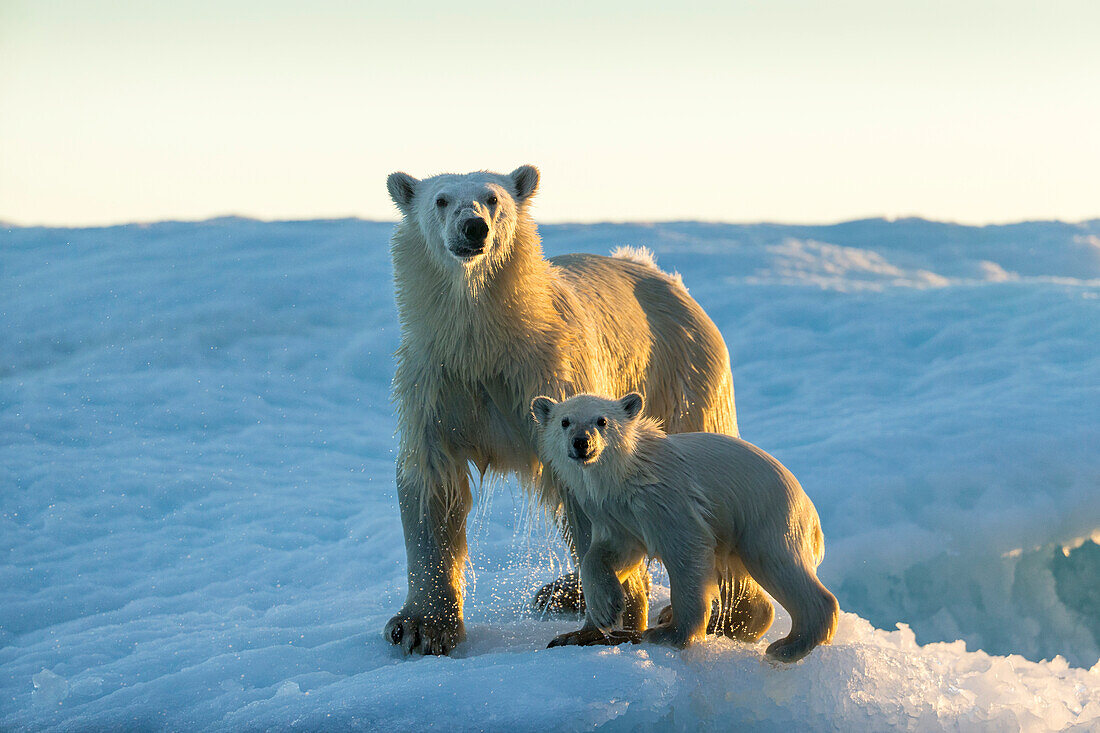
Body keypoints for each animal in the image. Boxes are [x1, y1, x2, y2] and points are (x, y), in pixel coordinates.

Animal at [385, 165, 756, 651]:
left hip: (682, 376)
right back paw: (561, 591)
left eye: (494, 198)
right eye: (441, 200)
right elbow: (432, 483)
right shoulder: (438, 386)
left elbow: (592, 486)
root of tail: (664, 275)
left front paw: (603, 626)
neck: (488, 342)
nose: (474, 227)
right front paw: (420, 628)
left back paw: (734, 615)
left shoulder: (555, 377)